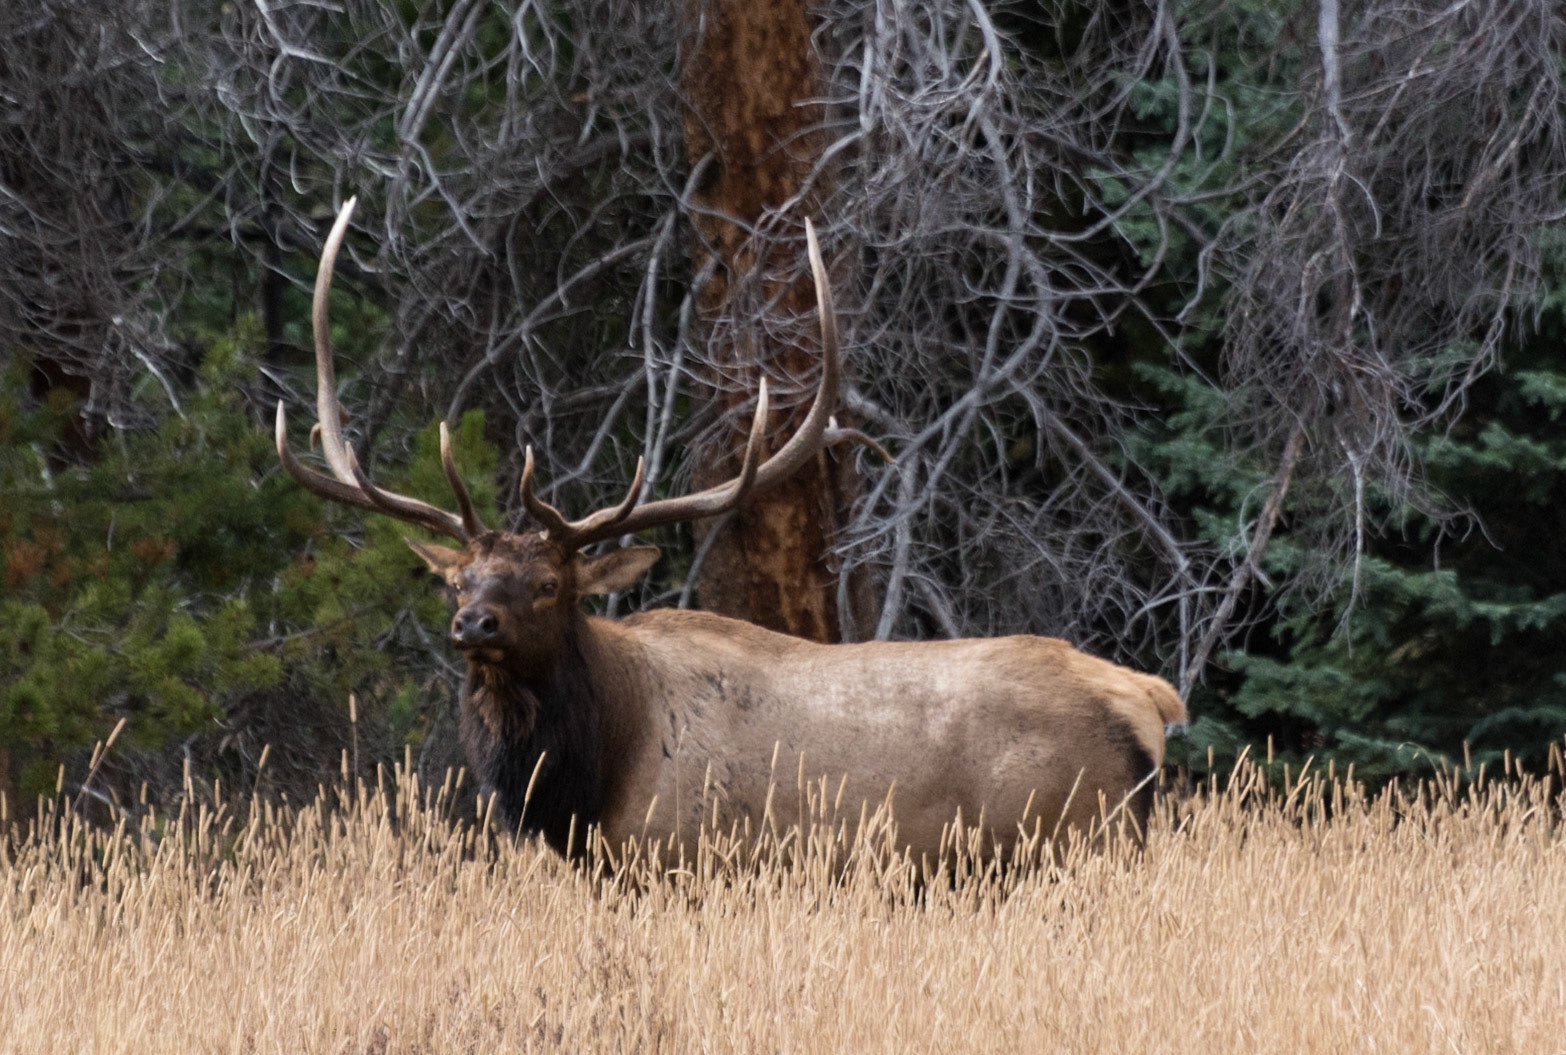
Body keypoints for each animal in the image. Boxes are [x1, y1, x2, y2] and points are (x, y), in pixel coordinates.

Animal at [275, 199, 1188, 865]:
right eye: (456, 579)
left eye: (550, 584)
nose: (476, 623)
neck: (590, 777)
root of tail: (1148, 697)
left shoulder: (693, 860)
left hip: (1070, 841)